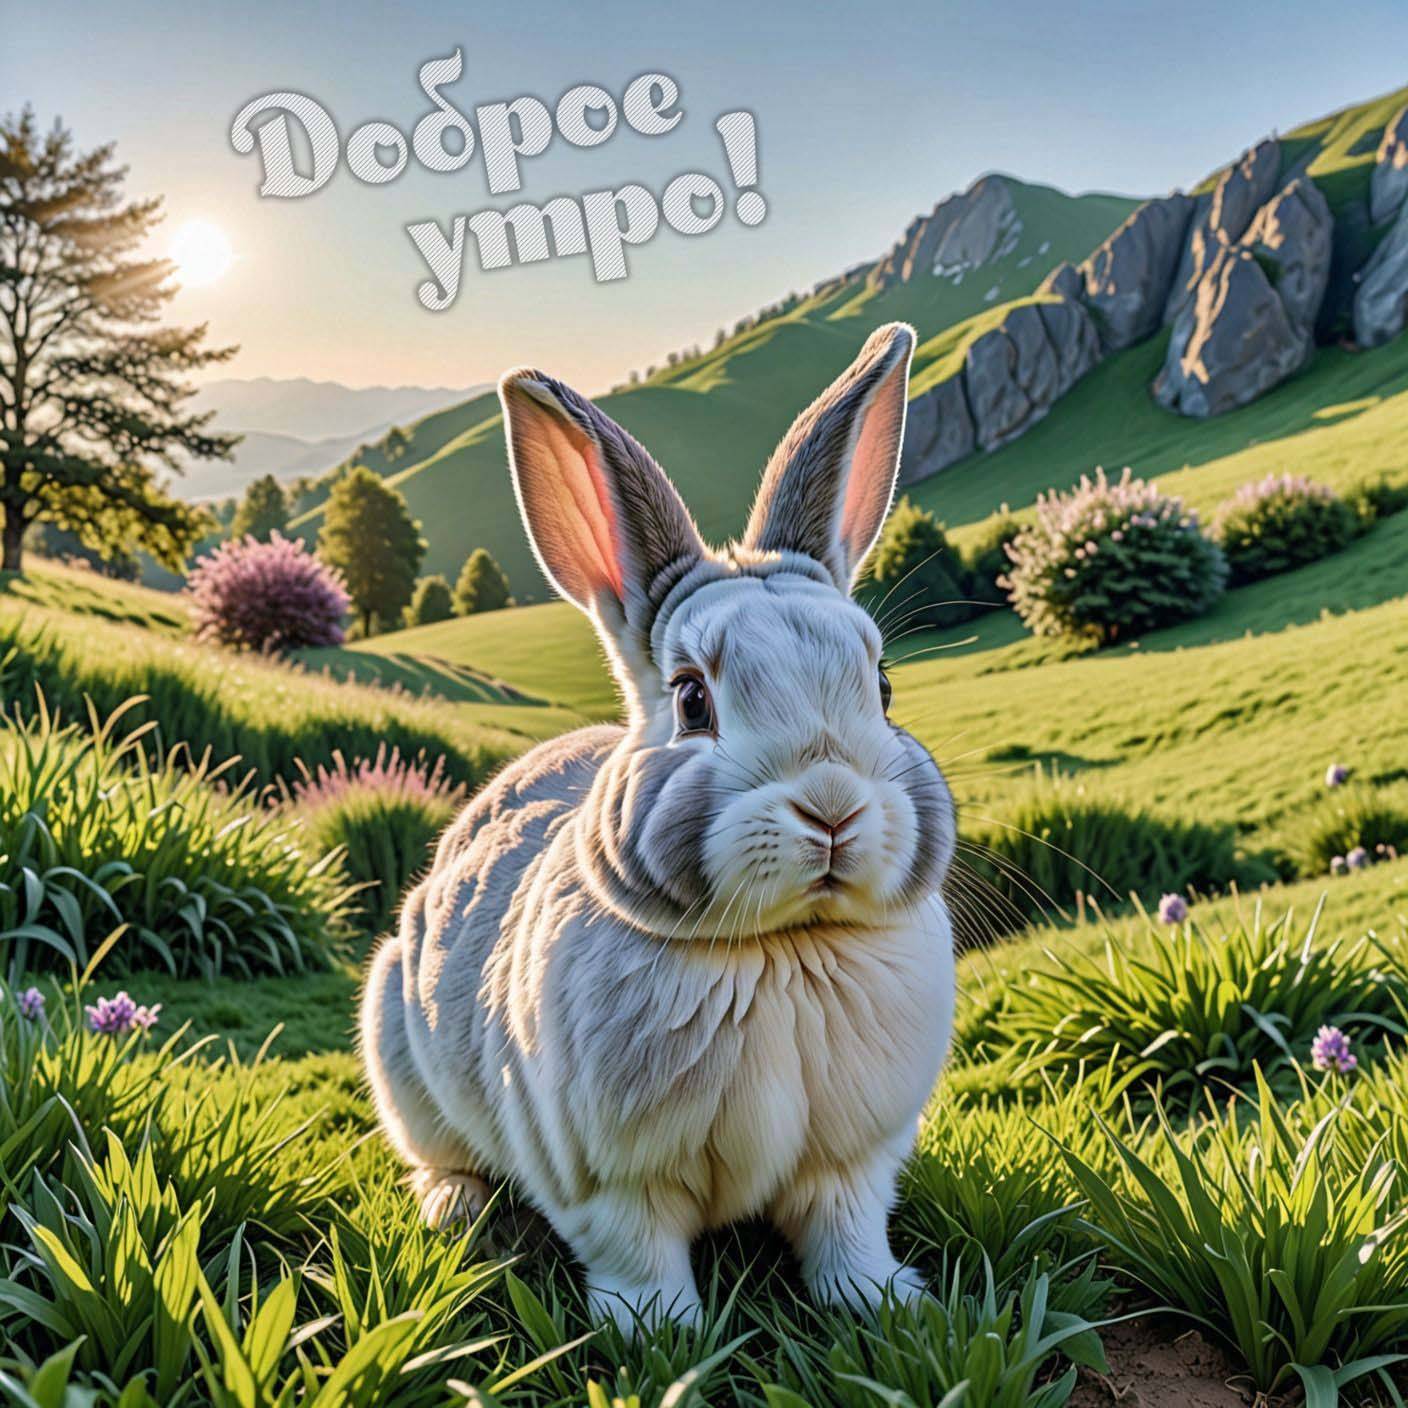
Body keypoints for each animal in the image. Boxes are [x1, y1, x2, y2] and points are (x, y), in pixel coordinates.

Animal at [359, 321, 956, 1331]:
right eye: (691, 700)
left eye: (881, 687)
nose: (832, 806)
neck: (781, 950)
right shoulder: (607, 1181)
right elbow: (638, 1255)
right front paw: (660, 1334)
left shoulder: (851, 1165)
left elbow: (846, 1233)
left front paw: (883, 1303)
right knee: (437, 1157)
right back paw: (456, 1206)